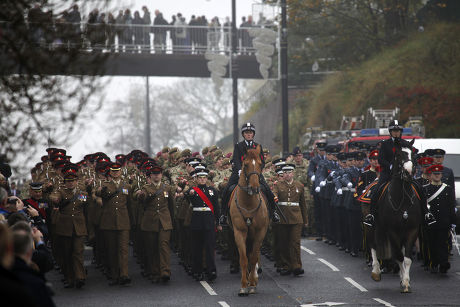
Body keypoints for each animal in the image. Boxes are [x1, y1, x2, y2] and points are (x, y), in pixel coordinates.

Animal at [230, 146, 270, 298]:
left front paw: (252, 284)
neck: (248, 203)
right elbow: (244, 259)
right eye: (245, 164)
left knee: (255, 255)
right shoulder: (239, 232)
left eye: (260, 163)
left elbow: (253, 258)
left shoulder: (260, 232)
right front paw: (243, 286)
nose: (254, 188)